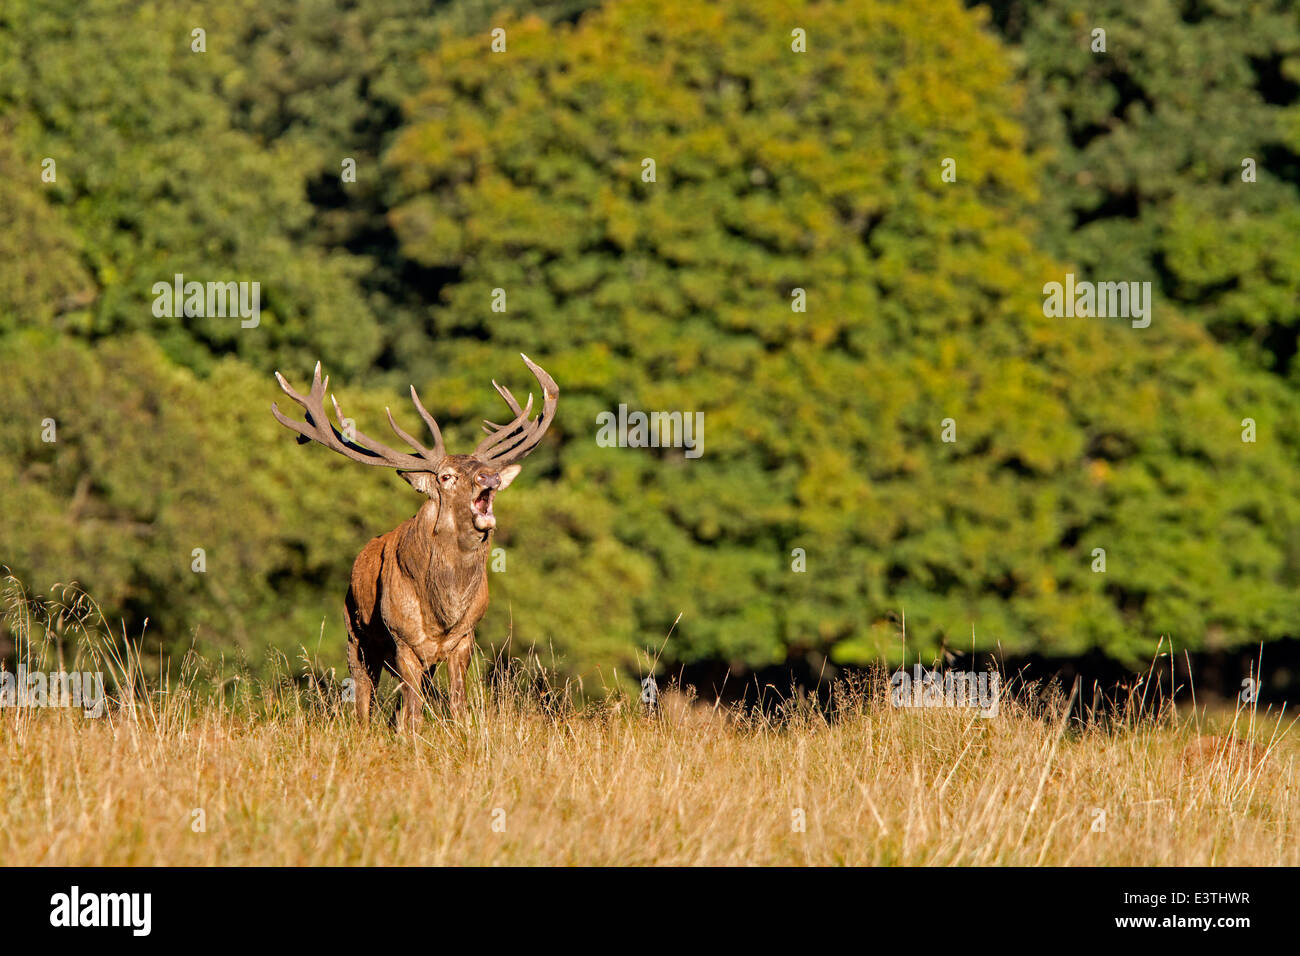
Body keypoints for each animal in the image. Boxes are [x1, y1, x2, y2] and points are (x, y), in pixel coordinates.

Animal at [270, 354, 558, 730]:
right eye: (446, 476)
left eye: (482, 466)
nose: (490, 476)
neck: (444, 608)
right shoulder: (403, 639)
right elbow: (414, 713)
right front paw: (413, 738)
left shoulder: (464, 638)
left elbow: (457, 704)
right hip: (355, 635)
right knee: (364, 699)